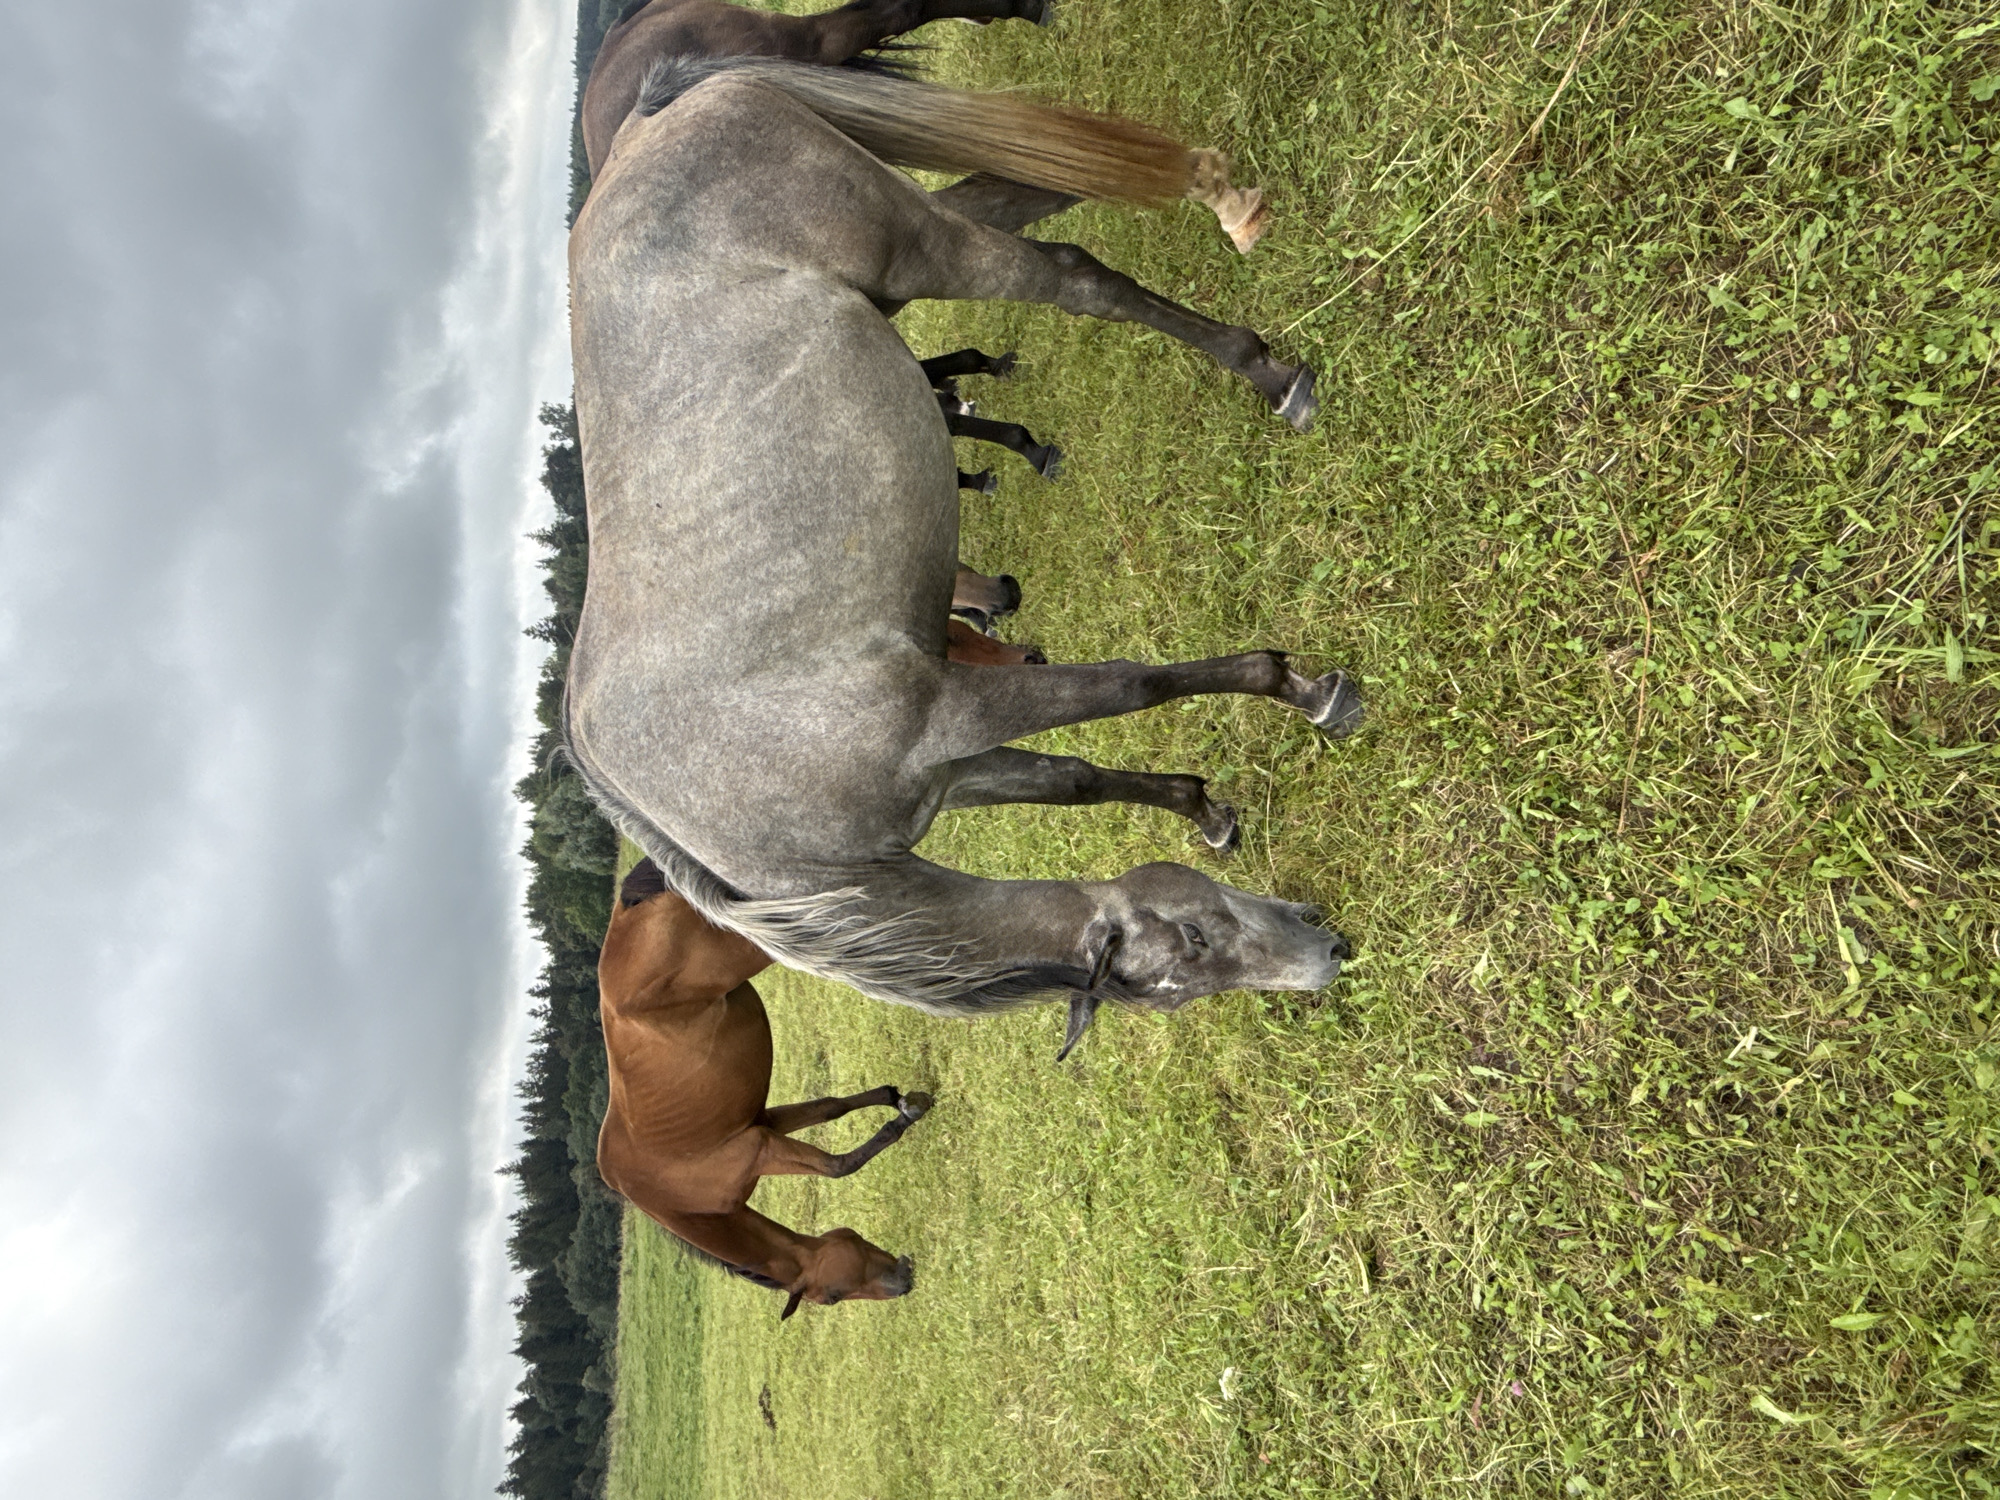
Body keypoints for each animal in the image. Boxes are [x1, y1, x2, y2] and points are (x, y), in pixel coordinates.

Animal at [565, 60, 1355, 1057]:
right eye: (1190, 953)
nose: (1326, 952)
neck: (758, 843)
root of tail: (646, 123)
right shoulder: (955, 770)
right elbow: (1073, 778)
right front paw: (1203, 808)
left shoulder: (953, 710)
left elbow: (1133, 684)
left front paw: (1306, 691)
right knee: (1037, 188)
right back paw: (1221, 196)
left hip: (913, 243)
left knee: (1071, 275)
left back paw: (1268, 367)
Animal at [597, 859, 931, 1317]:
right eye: (832, 1297)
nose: (904, 1280)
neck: (678, 1201)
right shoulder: (764, 1126)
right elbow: (831, 1111)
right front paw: (899, 1101)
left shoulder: (759, 1147)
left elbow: (837, 1166)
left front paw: (902, 1118)